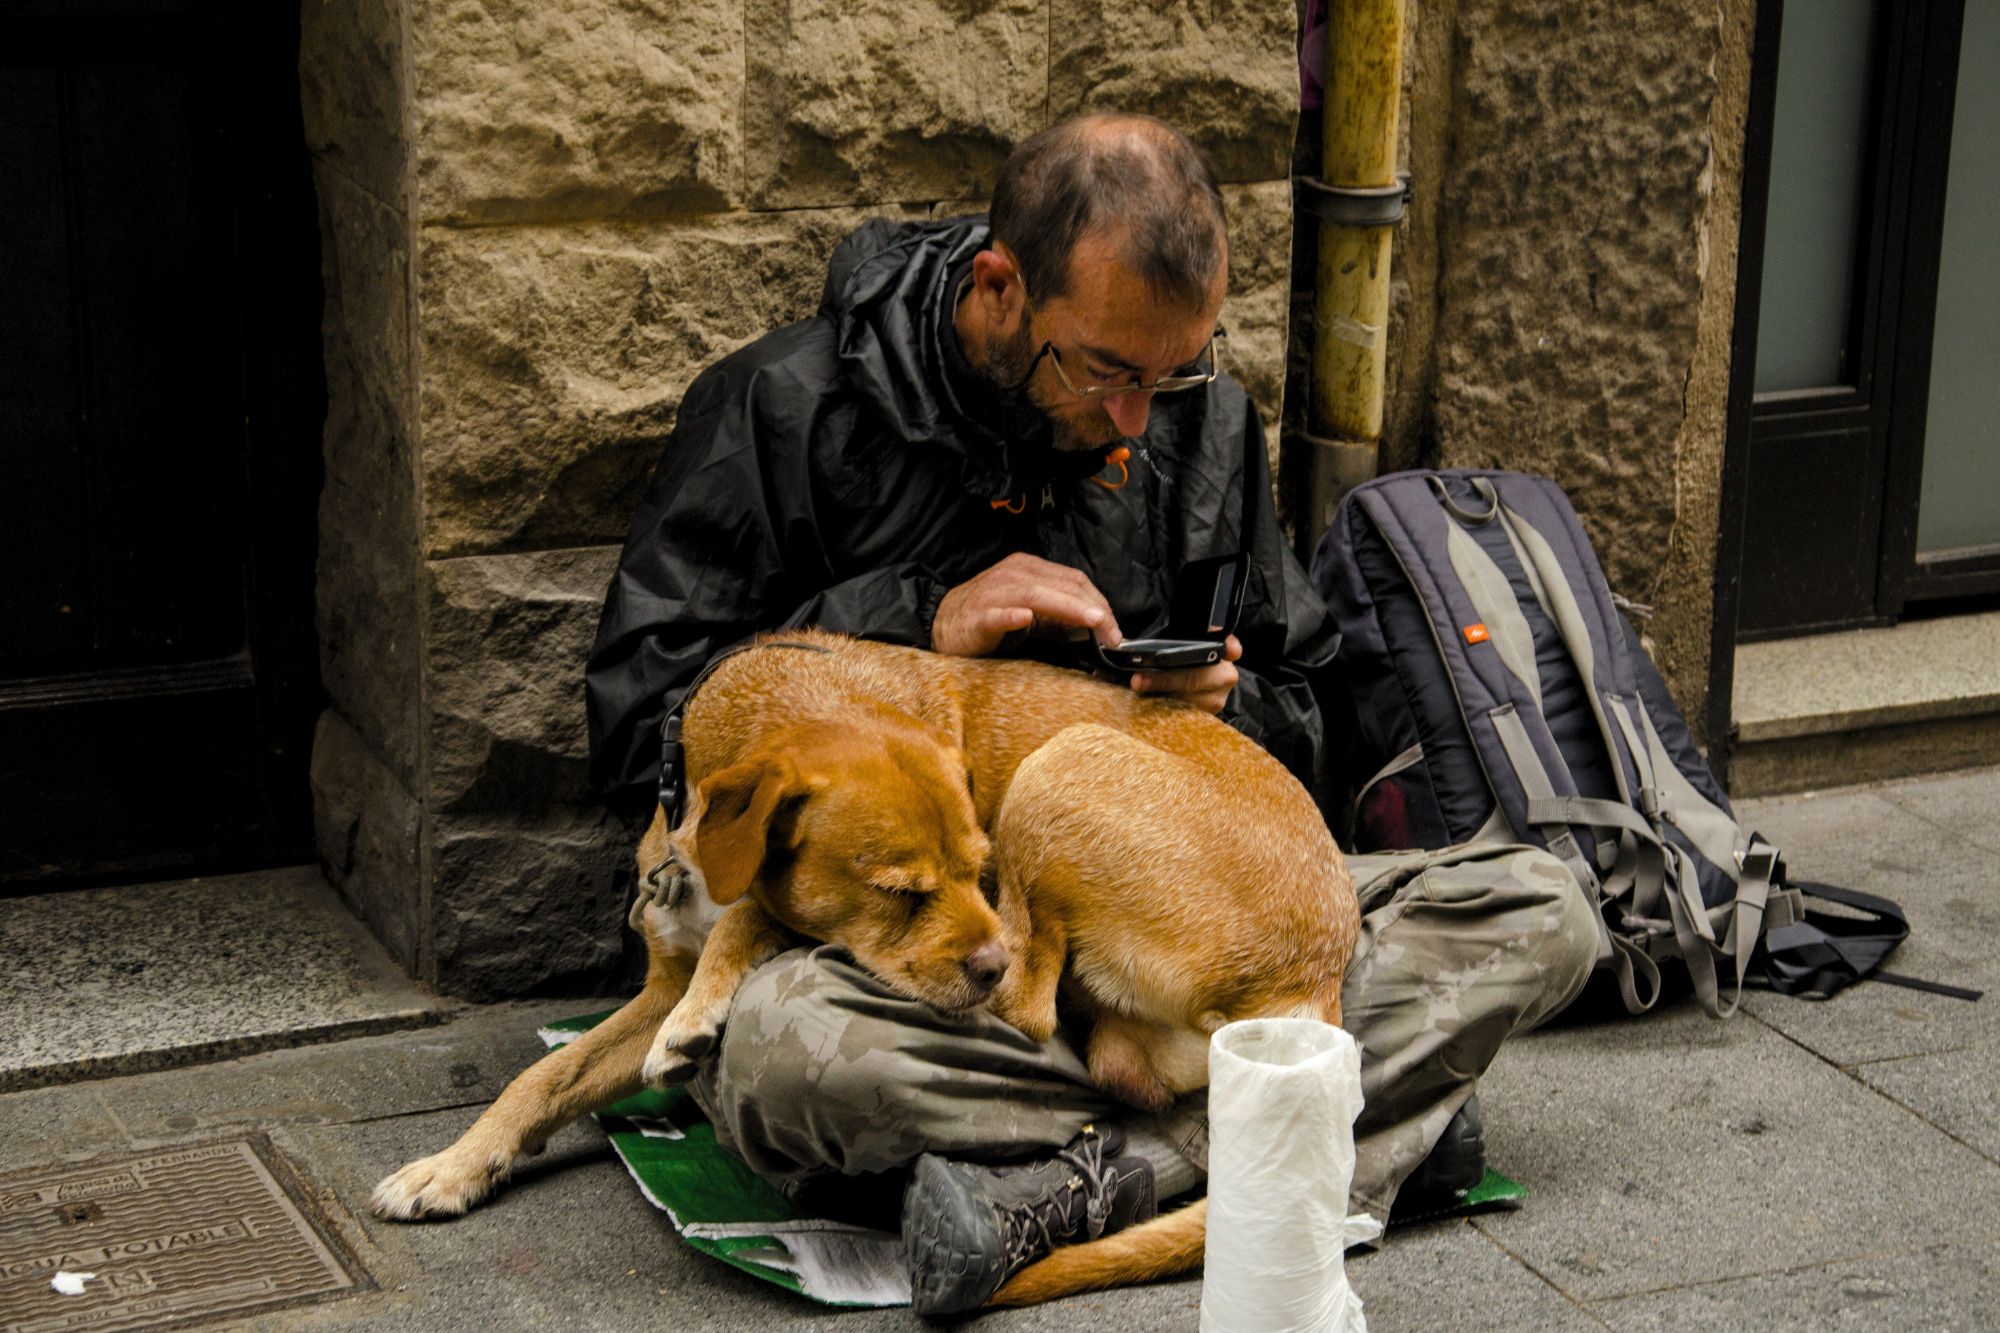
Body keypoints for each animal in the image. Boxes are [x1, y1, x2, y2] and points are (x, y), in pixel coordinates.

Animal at [372, 628, 1360, 1304]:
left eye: (979, 867)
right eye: (901, 890)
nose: (984, 958)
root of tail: (1314, 981)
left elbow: (759, 917)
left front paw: (705, 1011)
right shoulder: (654, 984)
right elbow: (542, 1078)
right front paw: (452, 1167)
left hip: (1061, 766)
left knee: (1034, 1012)